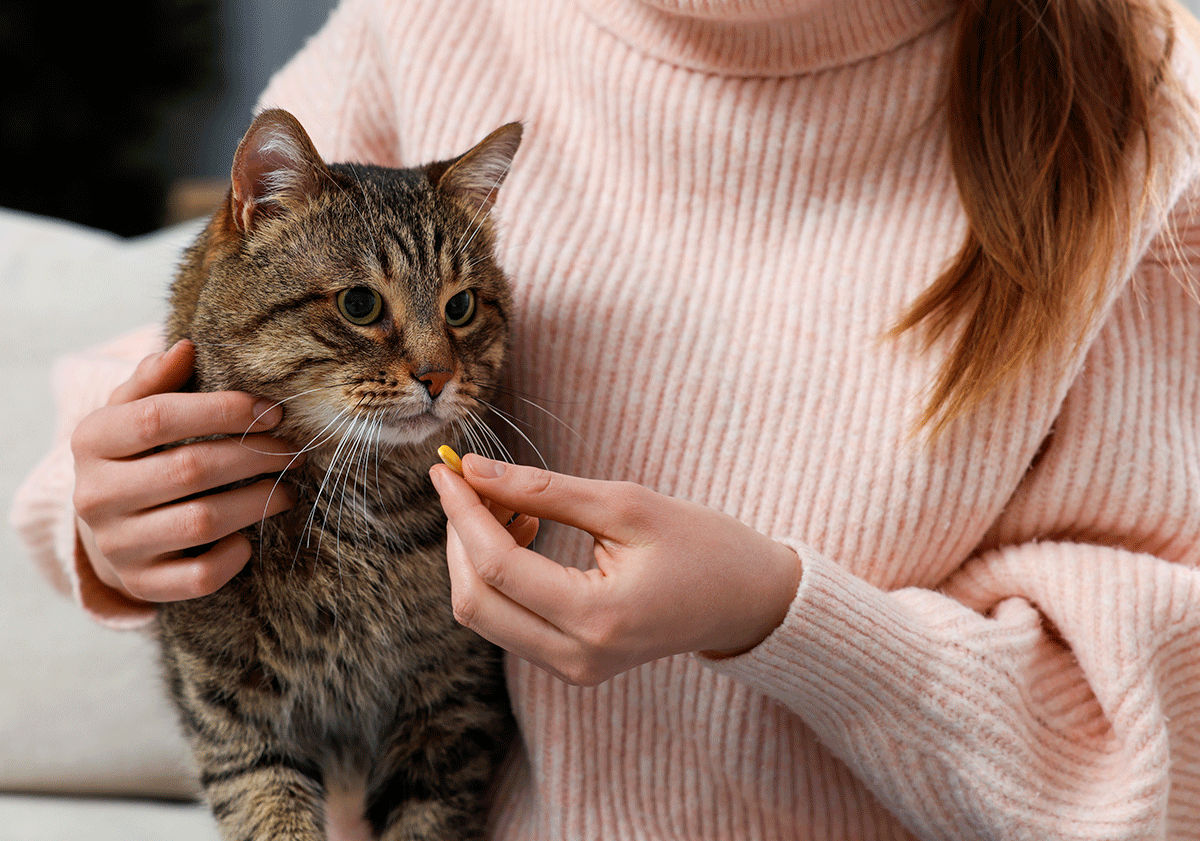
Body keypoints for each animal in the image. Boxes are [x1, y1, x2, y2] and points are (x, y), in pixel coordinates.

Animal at [156, 107, 520, 835]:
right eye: (359, 304)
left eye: (461, 307)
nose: (438, 376)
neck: (360, 511)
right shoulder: (237, 717)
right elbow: (270, 812)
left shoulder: (452, 704)